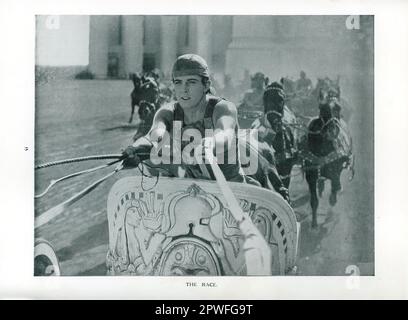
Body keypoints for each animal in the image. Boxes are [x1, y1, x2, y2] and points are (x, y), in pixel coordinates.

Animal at [300, 101, 354, 229]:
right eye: (322, 109)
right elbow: (314, 201)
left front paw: (332, 199)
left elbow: (335, 185)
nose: (332, 131)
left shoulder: (336, 169)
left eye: (338, 108)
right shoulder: (311, 176)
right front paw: (314, 223)